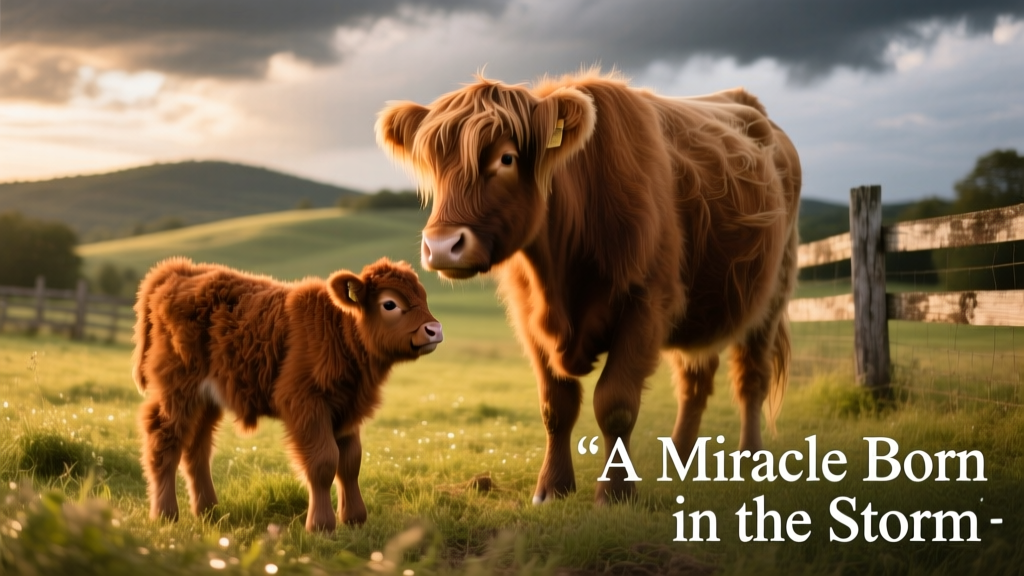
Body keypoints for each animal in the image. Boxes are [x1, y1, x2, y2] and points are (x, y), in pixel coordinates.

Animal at [131, 257, 443, 531]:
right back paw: (165, 514)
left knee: (197, 447)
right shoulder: (306, 405)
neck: (337, 330)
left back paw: (209, 511)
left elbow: (350, 462)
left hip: (206, 400)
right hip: (177, 390)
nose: (434, 330)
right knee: (164, 439)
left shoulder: (347, 410)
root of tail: (179, 270)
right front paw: (321, 526)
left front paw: (354, 519)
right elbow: (323, 462)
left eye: (423, 296)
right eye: (389, 304)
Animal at [376, 69, 801, 504]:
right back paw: (681, 461)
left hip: (771, 297)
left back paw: (750, 459)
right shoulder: (529, 318)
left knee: (751, 379)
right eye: (433, 163)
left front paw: (614, 494)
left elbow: (615, 403)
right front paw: (552, 488)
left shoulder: (647, 303)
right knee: (694, 381)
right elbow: (556, 406)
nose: (443, 246)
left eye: (506, 158)